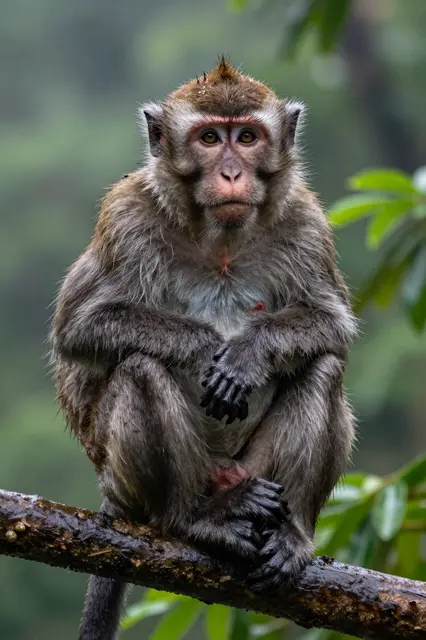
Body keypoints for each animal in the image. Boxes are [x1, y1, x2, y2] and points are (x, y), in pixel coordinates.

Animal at [50, 57, 357, 640]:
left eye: (248, 137)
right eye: (210, 139)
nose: (232, 174)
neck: (221, 240)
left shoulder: (306, 221)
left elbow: (332, 325)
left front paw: (246, 355)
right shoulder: (125, 217)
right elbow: (80, 326)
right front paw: (208, 345)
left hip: (257, 469)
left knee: (323, 367)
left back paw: (293, 534)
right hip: (130, 481)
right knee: (140, 367)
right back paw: (192, 521)